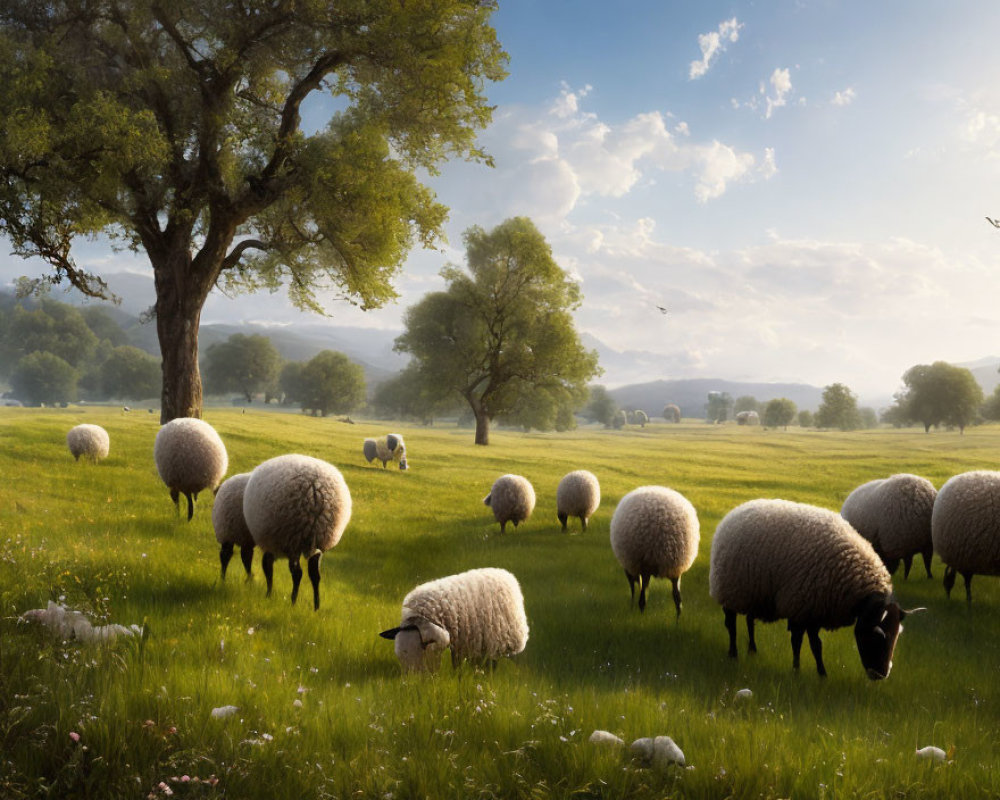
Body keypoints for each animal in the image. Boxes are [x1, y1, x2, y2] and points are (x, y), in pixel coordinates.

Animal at [242, 454, 352, 608]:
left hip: (294, 537)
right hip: (318, 538)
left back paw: (293, 602)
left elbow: (268, 569)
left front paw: (268, 595)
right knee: (315, 573)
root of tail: (315, 489)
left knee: (297, 573)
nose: (248, 580)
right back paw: (316, 606)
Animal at [376, 564, 532, 672]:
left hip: (500, 639)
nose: (411, 683)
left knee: (494, 662)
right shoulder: (459, 643)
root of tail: (505, 573)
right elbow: (457, 665)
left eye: (420, 651)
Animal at [604, 482, 700, 620]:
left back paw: (640, 616)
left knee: (643, 597)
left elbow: (634, 589)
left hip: (647, 563)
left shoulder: (633, 567)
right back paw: (677, 622)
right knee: (678, 600)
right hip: (676, 567)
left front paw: (632, 607)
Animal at [708, 500, 916, 680]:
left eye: (897, 634)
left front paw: (821, 674)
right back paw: (733, 653)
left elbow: (816, 646)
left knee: (750, 621)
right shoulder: (801, 607)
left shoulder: (813, 609)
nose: (881, 675)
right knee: (731, 625)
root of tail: (736, 510)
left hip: (753, 593)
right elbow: (800, 642)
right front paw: (797, 670)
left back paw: (752, 650)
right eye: (877, 635)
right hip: (731, 591)